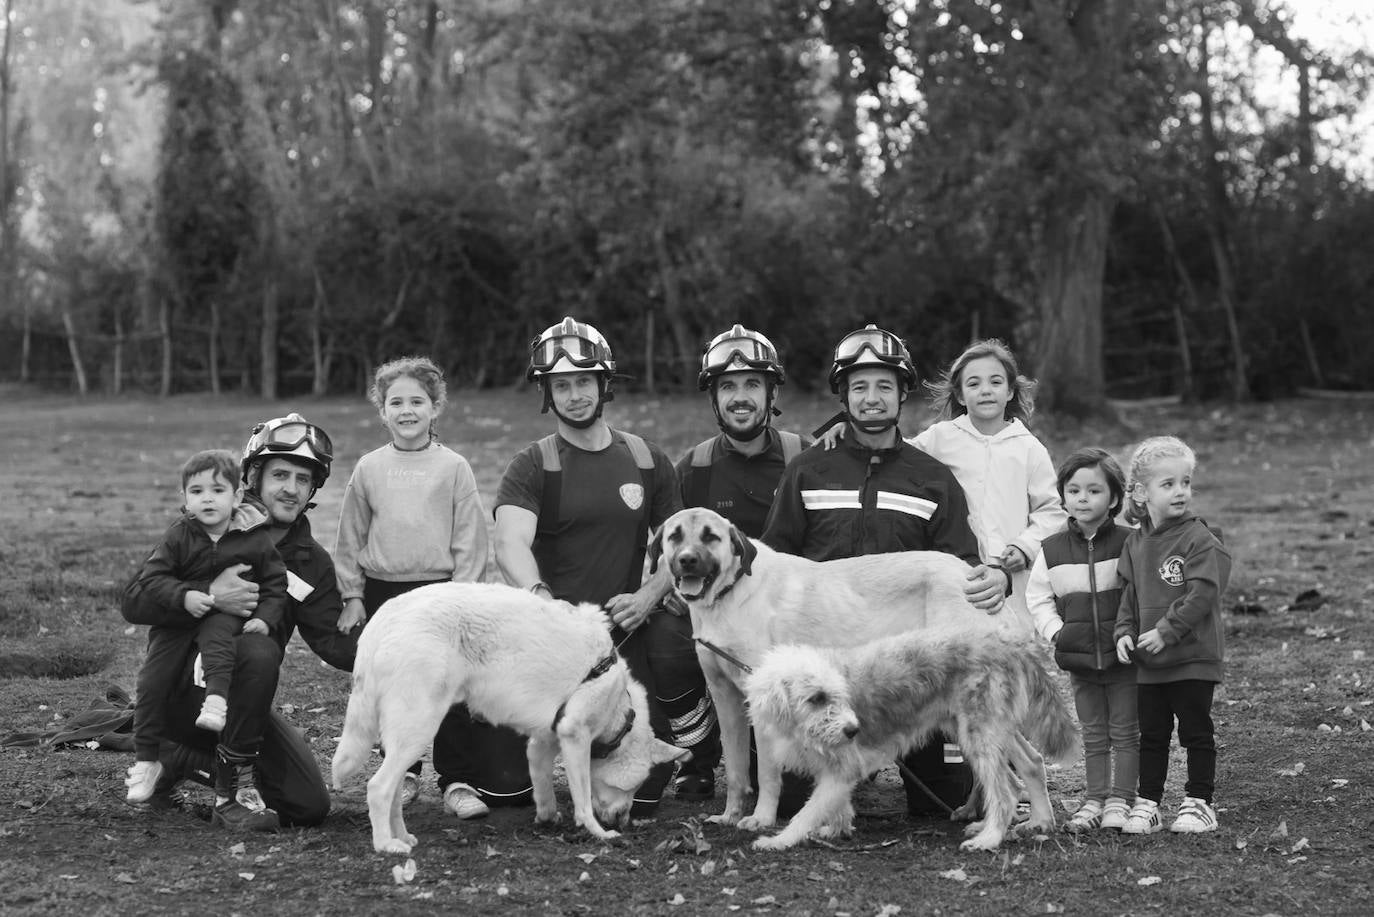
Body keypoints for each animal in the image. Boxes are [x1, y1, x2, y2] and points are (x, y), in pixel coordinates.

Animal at [327, 585, 681, 857]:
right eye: (631, 788)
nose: (623, 821)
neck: (620, 706)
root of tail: (382, 618)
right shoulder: (575, 736)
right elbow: (583, 800)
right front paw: (598, 833)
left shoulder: (542, 743)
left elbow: (543, 786)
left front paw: (547, 817)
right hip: (418, 729)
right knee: (377, 788)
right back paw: (386, 845)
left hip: (407, 736)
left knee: (393, 791)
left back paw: (401, 836)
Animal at [645, 505, 1022, 835]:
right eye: (675, 536)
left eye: (710, 537)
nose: (687, 560)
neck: (730, 594)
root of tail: (969, 574)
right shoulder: (725, 698)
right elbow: (738, 770)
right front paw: (729, 816)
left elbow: (766, 772)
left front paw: (762, 818)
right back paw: (978, 814)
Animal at [741, 632, 1071, 852]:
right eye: (816, 698)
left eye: (836, 695)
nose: (853, 730)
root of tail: (1009, 644)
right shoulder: (832, 770)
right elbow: (836, 805)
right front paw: (837, 828)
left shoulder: (842, 769)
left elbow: (805, 813)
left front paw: (779, 840)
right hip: (988, 730)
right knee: (1030, 766)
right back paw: (1038, 821)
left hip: (979, 735)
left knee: (1004, 791)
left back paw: (989, 838)